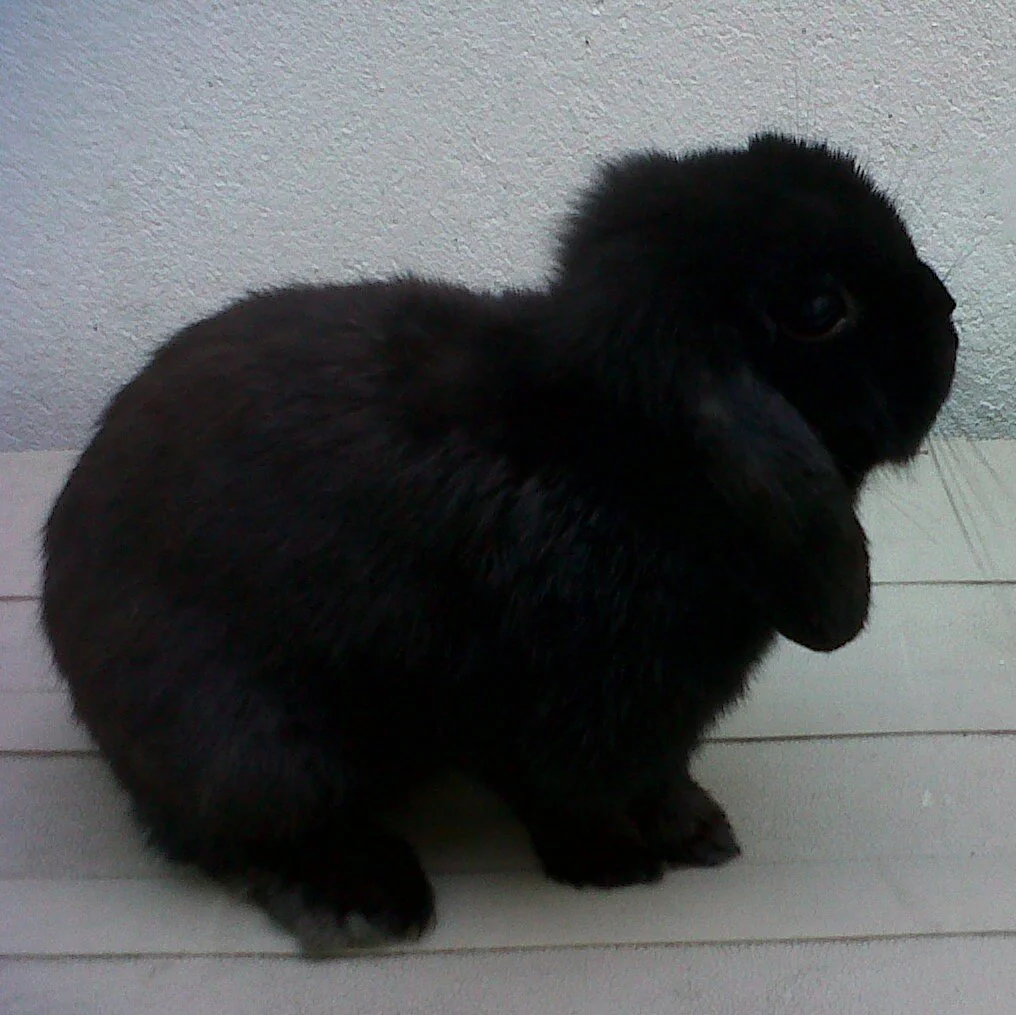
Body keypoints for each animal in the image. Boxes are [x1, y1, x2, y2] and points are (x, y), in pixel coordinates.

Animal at [40, 134, 958, 953]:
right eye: (820, 309)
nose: (947, 314)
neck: (625, 460)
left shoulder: (656, 726)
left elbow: (663, 776)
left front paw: (701, 833)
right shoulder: (554, 720)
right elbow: (570, 800)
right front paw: (612, 867)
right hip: (248, 738)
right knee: (239, 833)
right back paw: (366, 905)